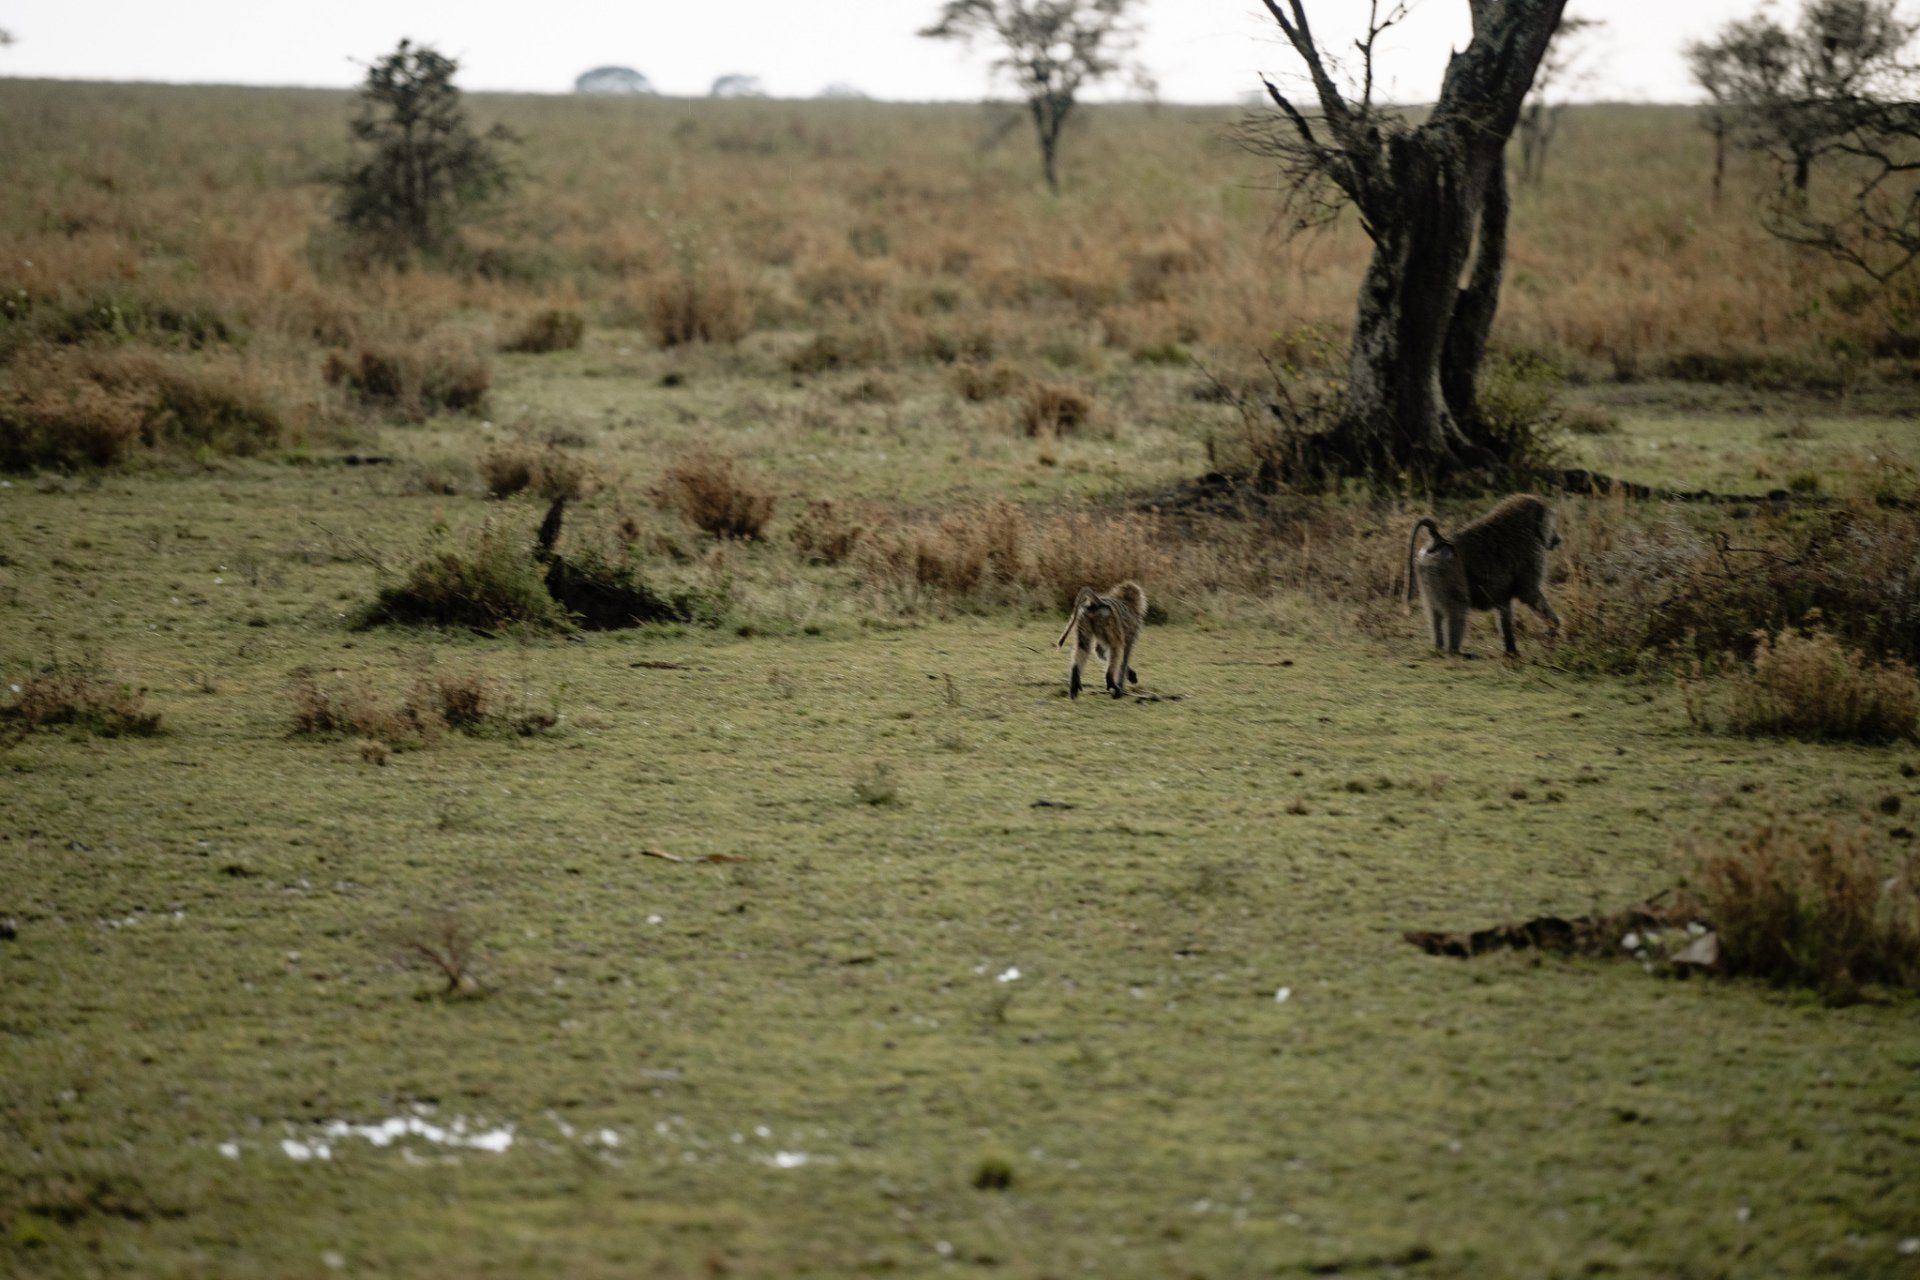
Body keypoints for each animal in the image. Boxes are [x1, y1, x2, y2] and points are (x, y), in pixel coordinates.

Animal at [1406, 494, 1562, 657]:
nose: (1559, 539)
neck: (1526, 525)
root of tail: (1438, 540)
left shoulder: (1502, 594)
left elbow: (1504, 608)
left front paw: (1511, 651)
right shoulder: (1533, 550)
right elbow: (1529, 593)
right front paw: (1553, 626)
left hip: (1425, 570)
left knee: (1434, 612)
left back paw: (1438, 648)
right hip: (1446, 569)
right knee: (1458, 606)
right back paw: (1455, 651)